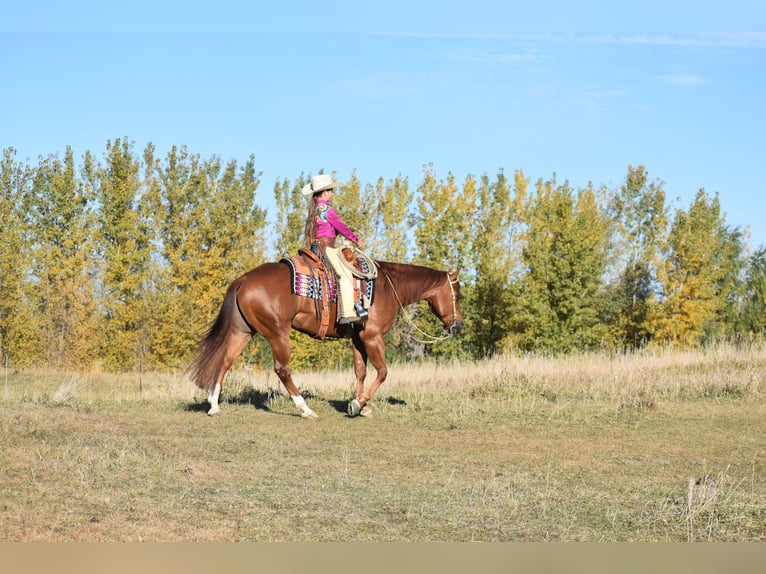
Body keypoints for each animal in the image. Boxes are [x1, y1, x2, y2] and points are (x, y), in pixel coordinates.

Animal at [189, 258, 464, 420]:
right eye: (458, 295)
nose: (459, 326)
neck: (387, 286)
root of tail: (244, 278)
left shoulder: (358, 338)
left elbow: (361, 371)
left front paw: (361, 404)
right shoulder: (373, 336)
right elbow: (383, 372)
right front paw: (357, 404)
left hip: (243, 331)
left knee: (225, 361)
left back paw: (213, 404)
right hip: (277, 333)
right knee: (282, 369)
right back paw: (305, 409)